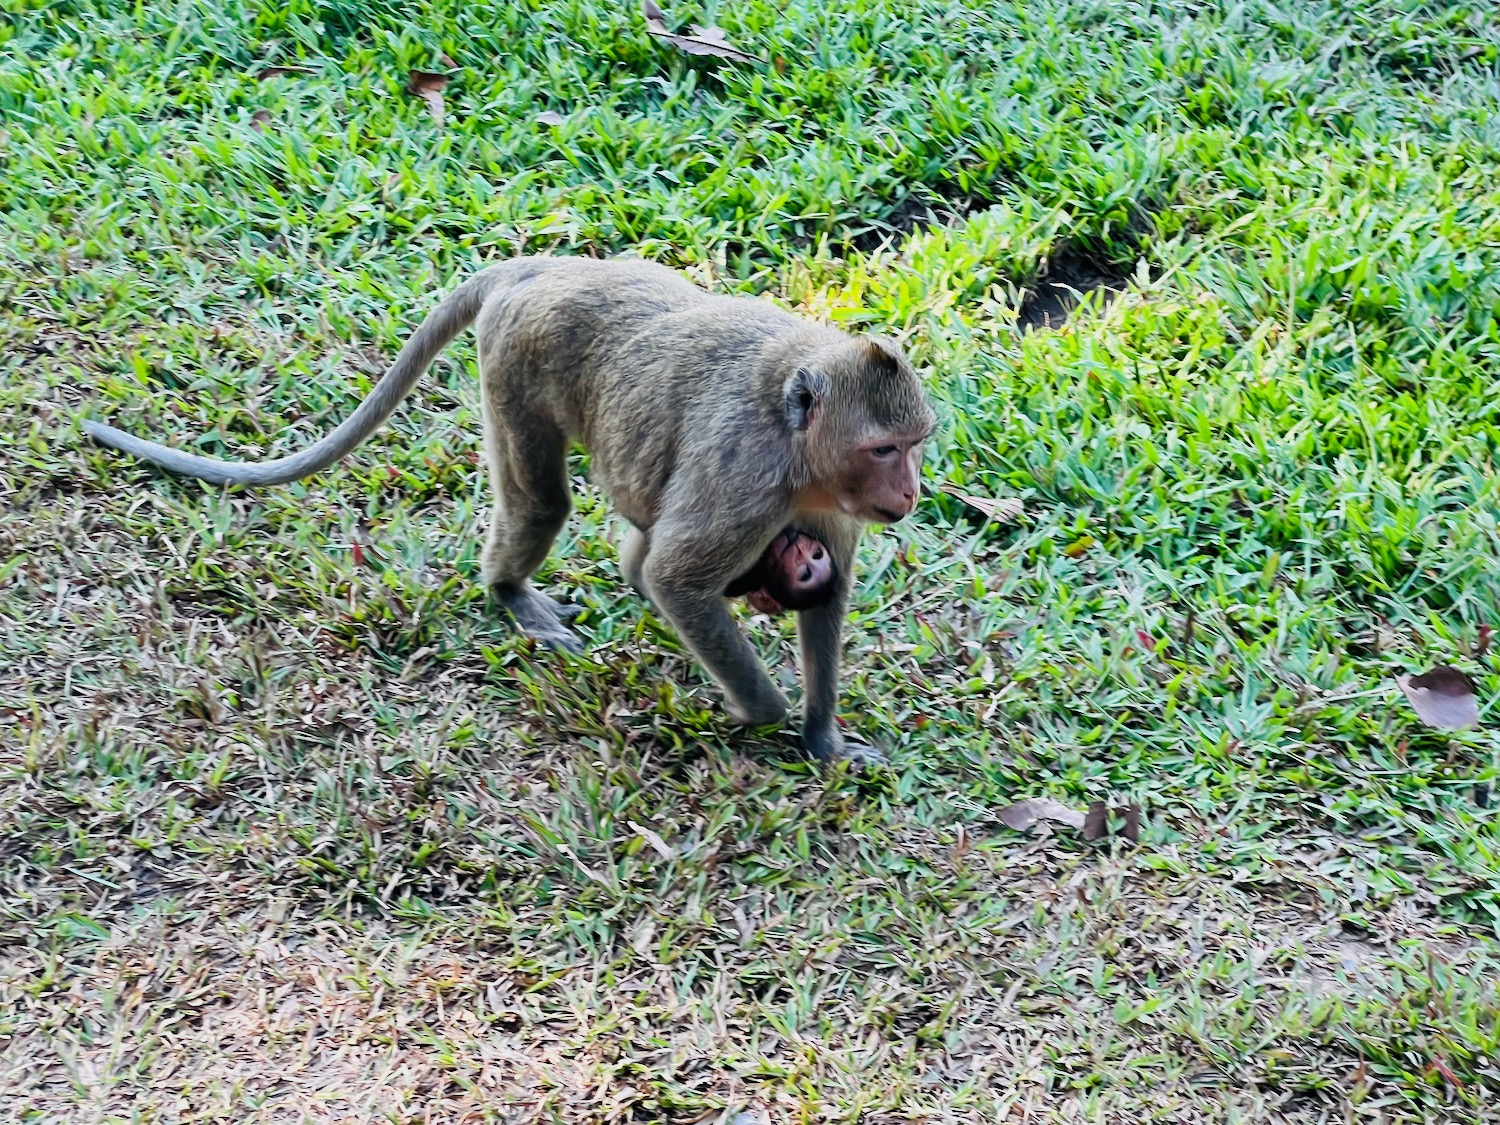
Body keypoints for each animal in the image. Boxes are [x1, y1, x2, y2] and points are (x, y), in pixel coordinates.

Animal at [85, 256, 936, 768]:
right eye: (885, 448)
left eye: (916, 444)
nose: (911, 493)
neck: (798, 443)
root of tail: (551, 264)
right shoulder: (747, 480)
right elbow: (675, 576)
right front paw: (761, 709)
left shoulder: (828, 509)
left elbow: (822, 600)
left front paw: (822, 736)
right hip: (517, 355)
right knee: (541, 502)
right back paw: (508, 593)